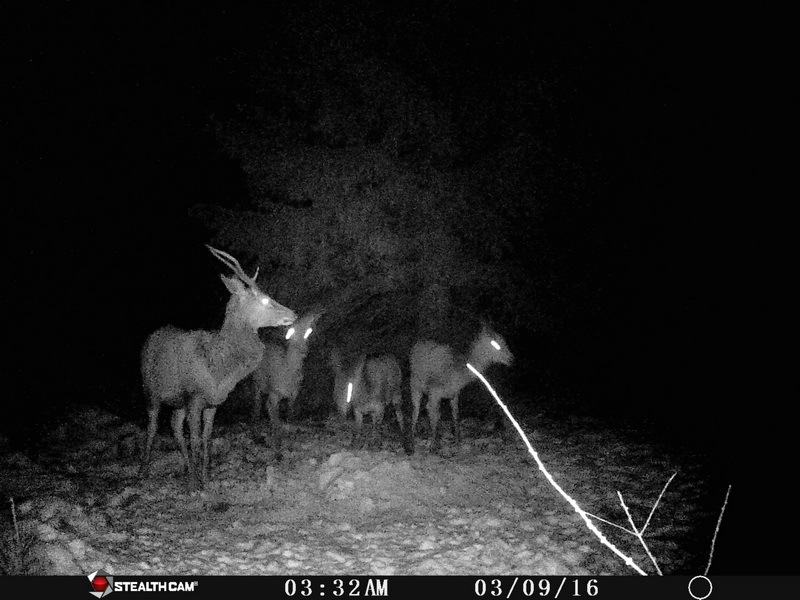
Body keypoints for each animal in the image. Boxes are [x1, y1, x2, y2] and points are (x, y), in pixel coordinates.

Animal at [140, 245, 296, 487]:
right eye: (263, 300)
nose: (292, 314)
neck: (219, 371)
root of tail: (151, 337)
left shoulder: (212, 402)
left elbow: (206, 438)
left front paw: (204, 477)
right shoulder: (194, 397)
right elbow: (194, 439)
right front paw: (195, 485)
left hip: (177, 402)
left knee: (175, 426)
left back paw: (186, 468)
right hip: (151, 391)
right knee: (153, 427)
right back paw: (145, 470)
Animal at [251, 309, 323, 448]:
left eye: (309, 331)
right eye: (291, 331)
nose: (303, 350)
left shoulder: (294, 394)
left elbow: (290, 412)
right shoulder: (274, 393)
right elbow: (274, 416)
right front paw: (277, 440)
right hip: (258, 379)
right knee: (257, 398)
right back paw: (256, 419)